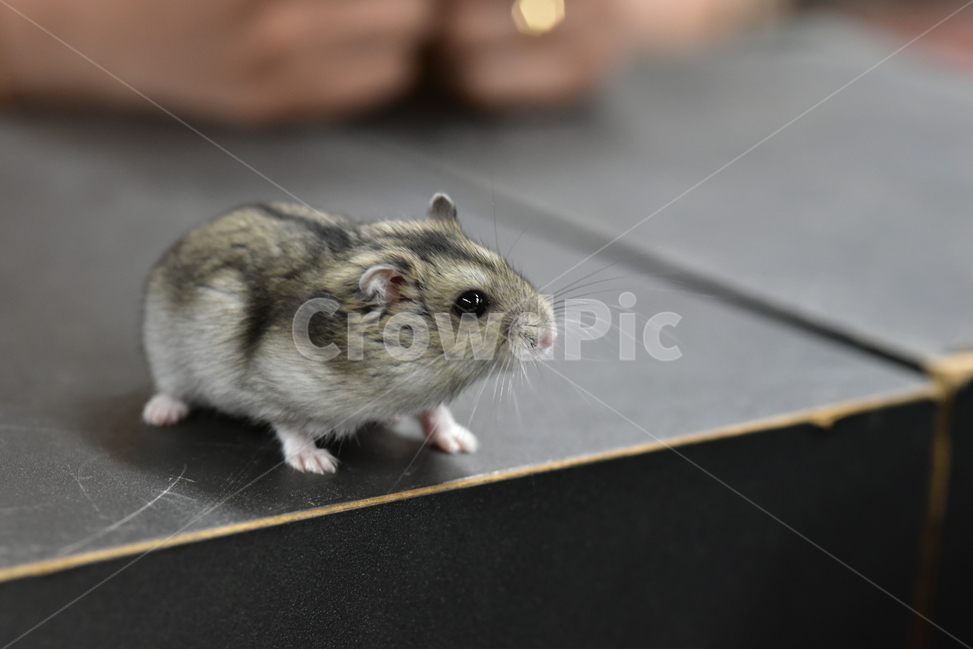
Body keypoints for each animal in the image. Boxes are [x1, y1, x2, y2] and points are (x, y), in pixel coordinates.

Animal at [141, 194, 557, 473]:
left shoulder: (424, 391)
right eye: (471, 303)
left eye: (504, 264)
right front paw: (319, 464)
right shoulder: (272, 382)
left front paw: (463, 443)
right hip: (168, 360)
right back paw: (160, 415)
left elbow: (435, 410)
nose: (550, 338)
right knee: (171, 390)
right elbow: (288, 424)